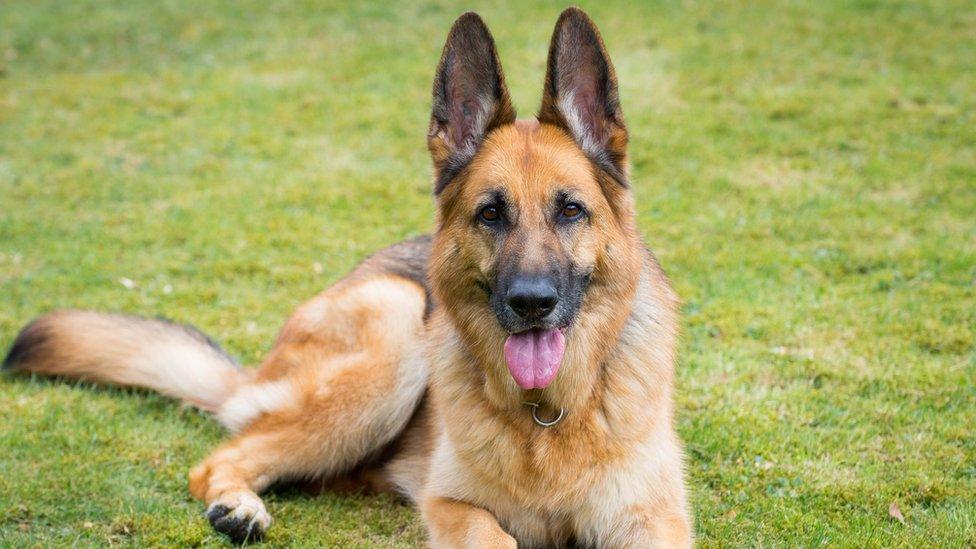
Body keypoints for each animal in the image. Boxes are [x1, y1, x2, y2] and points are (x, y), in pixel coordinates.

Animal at [3, 8, 692, 548]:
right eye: (491, 214)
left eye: (570, 210)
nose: (531, 303)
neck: (547, 415)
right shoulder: (452, 506)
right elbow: (493, 533)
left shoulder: (655, 518)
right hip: (394, 332)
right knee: (224, 455)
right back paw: (237, 506)